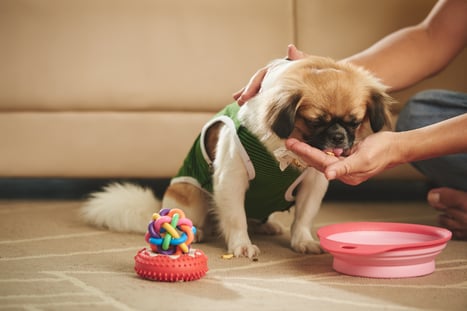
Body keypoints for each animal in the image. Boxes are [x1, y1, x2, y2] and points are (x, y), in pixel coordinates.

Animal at [81, 55, 394, 258]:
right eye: (315, 121)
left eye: (354, 122)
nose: (339, 137)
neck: (282, 154)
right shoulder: (231, 182)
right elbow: (235, 219)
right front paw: (241, 245)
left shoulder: (313, 184)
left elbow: (303, 217)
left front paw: (302, 241)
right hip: (189, 194)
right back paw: (200, 229)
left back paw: (266, 226)